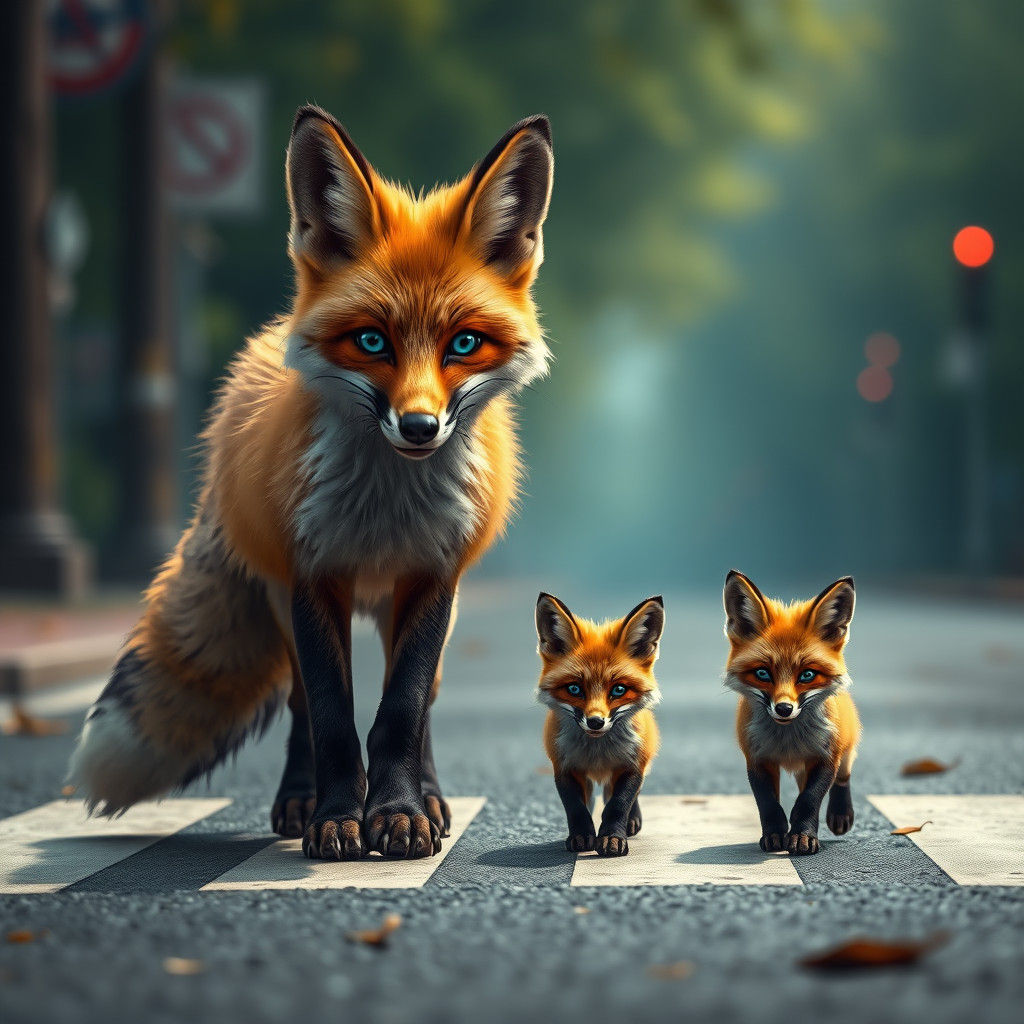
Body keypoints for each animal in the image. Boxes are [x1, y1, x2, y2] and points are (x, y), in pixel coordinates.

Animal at [67, 106, 555, 860]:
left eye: (464, 344)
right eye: (373, 341)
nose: (420, 428)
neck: (385, 510)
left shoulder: (432, 576)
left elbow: (401, 709)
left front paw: (400, 813)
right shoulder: (313, 575)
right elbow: (331, 716)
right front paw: (337, 819)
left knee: (425, 705)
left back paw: (433, 799)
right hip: (279, 599)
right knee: (299, 707)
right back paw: (300, 802)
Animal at [535, 594, 664, 857]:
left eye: (619, 690)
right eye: (574, 689)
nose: (595, 722)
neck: (597, 753)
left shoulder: (632, 766)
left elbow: (618, 804)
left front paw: (612, 838)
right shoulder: (563, 767)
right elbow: (575, 807)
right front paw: (581, 836)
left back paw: (632, 821)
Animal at [723, 570, 861, 856]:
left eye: (807, 675)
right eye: (762, 673)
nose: (784, 709)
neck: (788, 741)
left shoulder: (825, 757)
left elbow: (808, 800)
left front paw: (803, 836)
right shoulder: (757, 759)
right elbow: (768, 804)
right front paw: (775, 835)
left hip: (844, 749)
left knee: (843, 777)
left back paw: (840, 814)